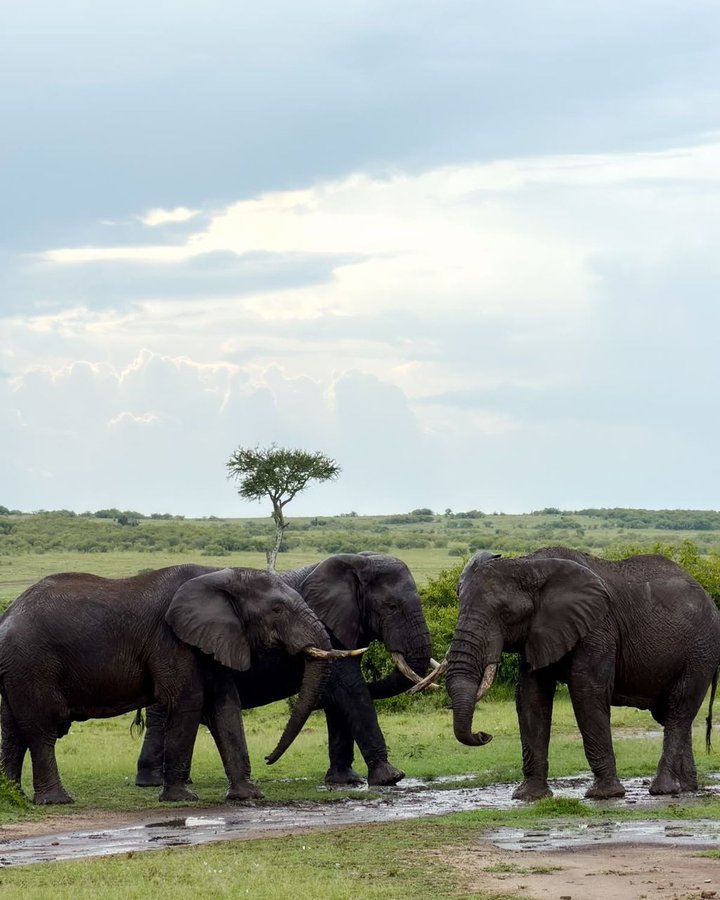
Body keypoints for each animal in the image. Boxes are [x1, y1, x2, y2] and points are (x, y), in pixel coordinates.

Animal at [0, 565, 344, 805]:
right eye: (277, 609)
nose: (268, 759)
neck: (220, 575)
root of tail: (7, 615)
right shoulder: (171, 641)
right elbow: (188, 702)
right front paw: (181, 799)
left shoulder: (211, 640)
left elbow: (225, 706)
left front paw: (248, 796)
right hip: (32, 663)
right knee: (40, 729)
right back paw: (57, 800)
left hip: (16, 668)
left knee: (13, 731)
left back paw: (15, 796)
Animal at [135, 552, 432, 788]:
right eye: (391, 607)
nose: (267, 758)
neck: (355, 561)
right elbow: (351, 690)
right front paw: (391, 777)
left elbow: (338, 699)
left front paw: (345, 780)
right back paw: (153, 782)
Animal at [441, 547, 720, 801]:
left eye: (506, 613)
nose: (484, 735)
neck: (530, 564)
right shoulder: (538, 632)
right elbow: (531, 698)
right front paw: (529, 796)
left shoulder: (598, 628)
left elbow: (587, 692)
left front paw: (604, 795)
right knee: (672, 715)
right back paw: (686, 787)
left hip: (700, 652)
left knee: (679, 710)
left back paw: (662, 790)